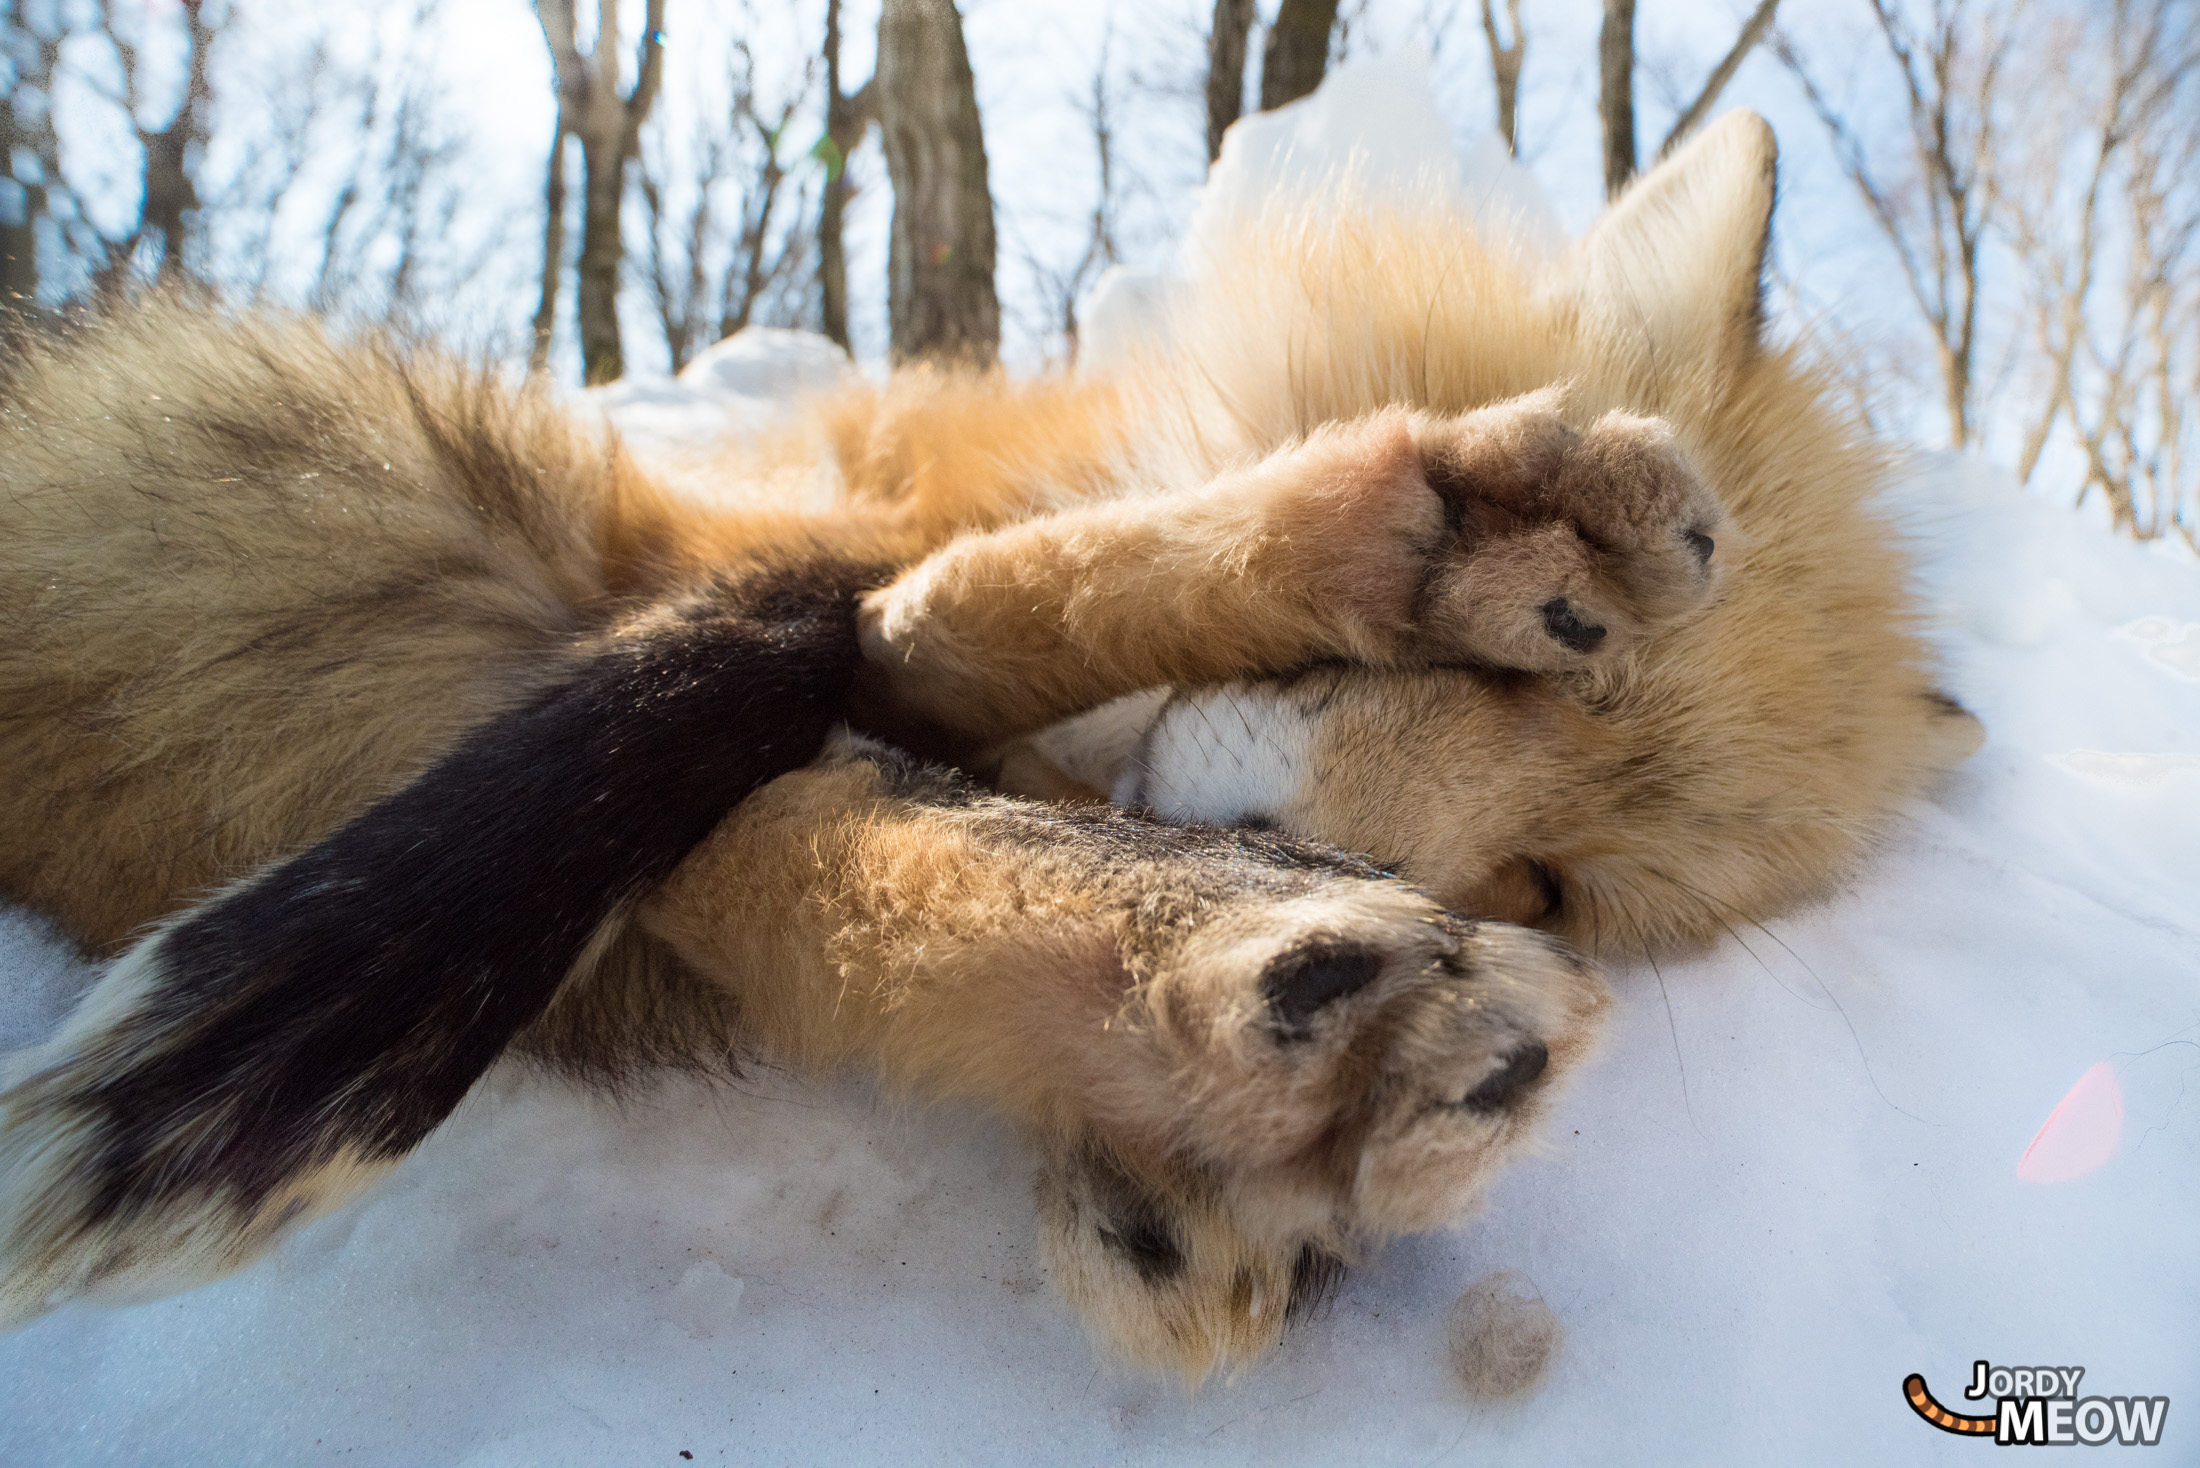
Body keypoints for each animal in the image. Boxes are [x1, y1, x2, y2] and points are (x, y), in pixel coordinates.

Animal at [0, 112, 1980, 1382]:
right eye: (1547, 684)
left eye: (1554, 877)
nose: (1306, 844)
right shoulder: (741, 551)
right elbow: (899, 624)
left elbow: (841, 769)